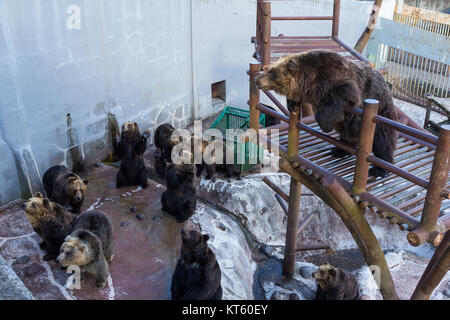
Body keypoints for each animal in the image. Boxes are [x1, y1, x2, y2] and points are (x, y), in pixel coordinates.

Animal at [255, 49, 400, 178]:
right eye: (268, 69)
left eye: (272, 72)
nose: (257, 79)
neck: (310, 81)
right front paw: (292, 104)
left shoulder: (336, 80)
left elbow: (342, 97)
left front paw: (326, 125)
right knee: (349, 136)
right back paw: (339, 150)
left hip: (381, 114)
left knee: (383, 141)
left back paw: (379, 168)